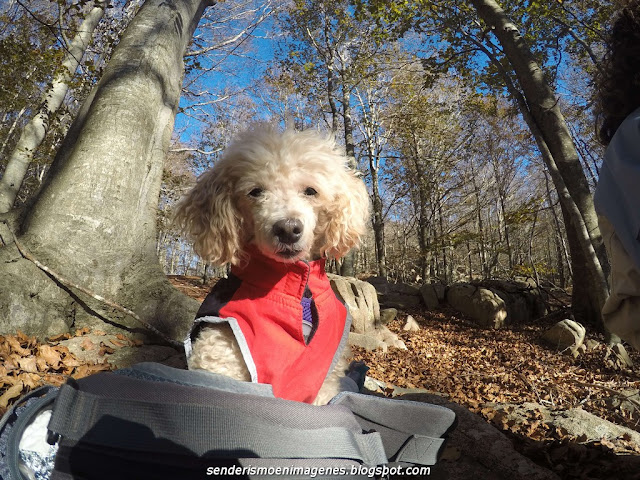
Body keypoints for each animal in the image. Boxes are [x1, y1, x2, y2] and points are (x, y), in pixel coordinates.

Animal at [175, 124, 370, 404]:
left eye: (311, 191)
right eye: (255, 192)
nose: (288, 229)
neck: (298, 293)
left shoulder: (324, 382)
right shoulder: (221, 360)